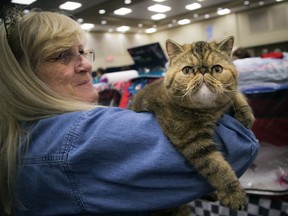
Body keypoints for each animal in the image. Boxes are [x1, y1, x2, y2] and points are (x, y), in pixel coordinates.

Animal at [130, 35, 254, 213]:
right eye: (187, 70)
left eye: (217, 69)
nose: (202, 71)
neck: (208, 110)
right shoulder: (193, 141)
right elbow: (218, 167)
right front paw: (233, 193)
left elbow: (234, 94)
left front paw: (245, 114)